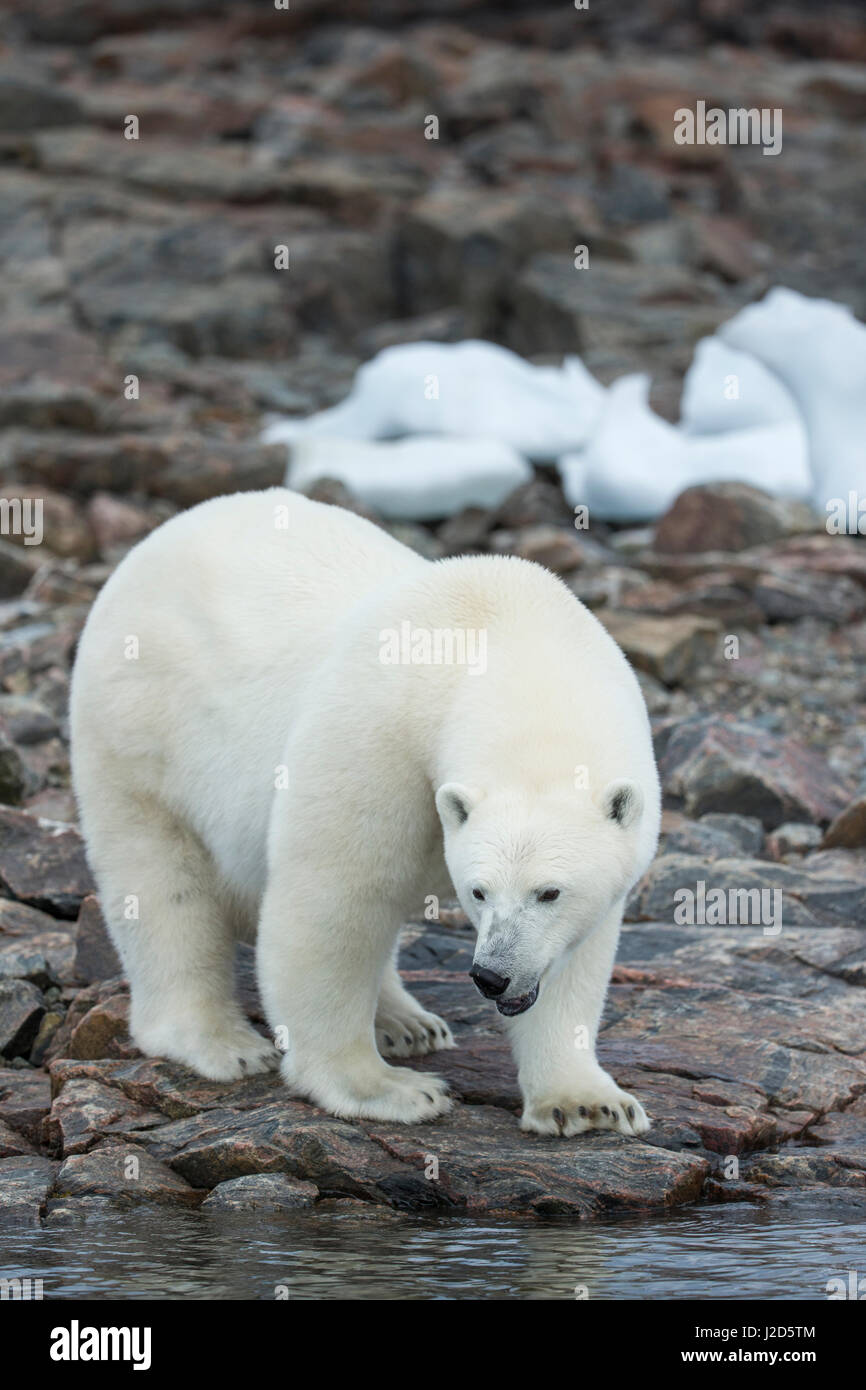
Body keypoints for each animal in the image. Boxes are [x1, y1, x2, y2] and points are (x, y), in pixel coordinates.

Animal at [71, 494, 661, 1134]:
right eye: (479, 891)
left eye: (550, 892)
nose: (492, 975)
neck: (500, 633)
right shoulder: (379, 734)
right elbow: (337, 898)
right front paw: (386, 1089)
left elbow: (576, 955)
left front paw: (587, 1103)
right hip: (140, 725)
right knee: (163, 884)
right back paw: (220, 1041)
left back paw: (407, 1021)